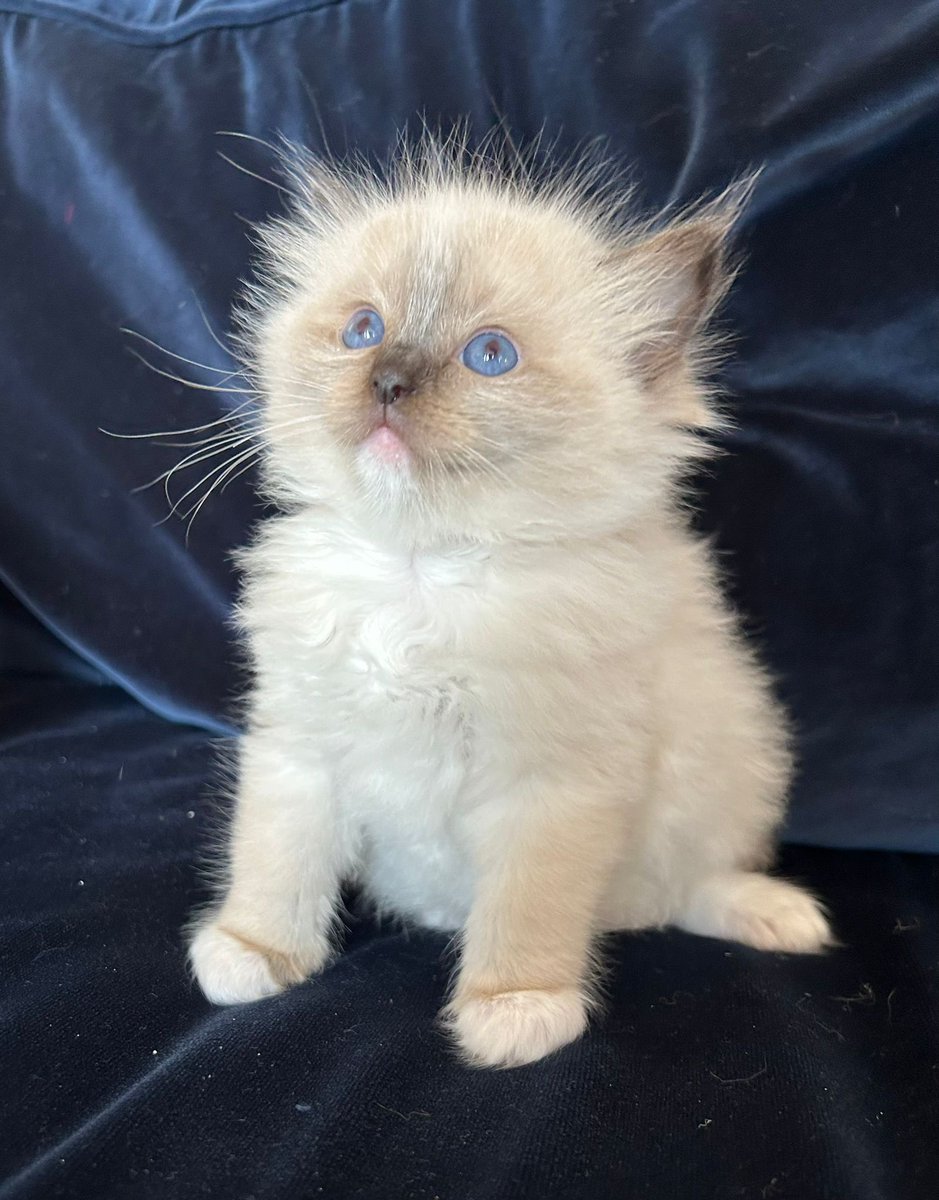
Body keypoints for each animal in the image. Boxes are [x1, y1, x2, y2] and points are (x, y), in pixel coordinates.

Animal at [187, 140, 835, 1070]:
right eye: (362, 331)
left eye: (489, 355)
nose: (387, 380)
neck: (420, 576)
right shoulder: (299, 748)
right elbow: (275, 861)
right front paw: (251, 954)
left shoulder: (550, 786)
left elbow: (528, 910)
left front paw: (514, 1010)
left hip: (730, 773)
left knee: (693, 887)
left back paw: (778, 916)